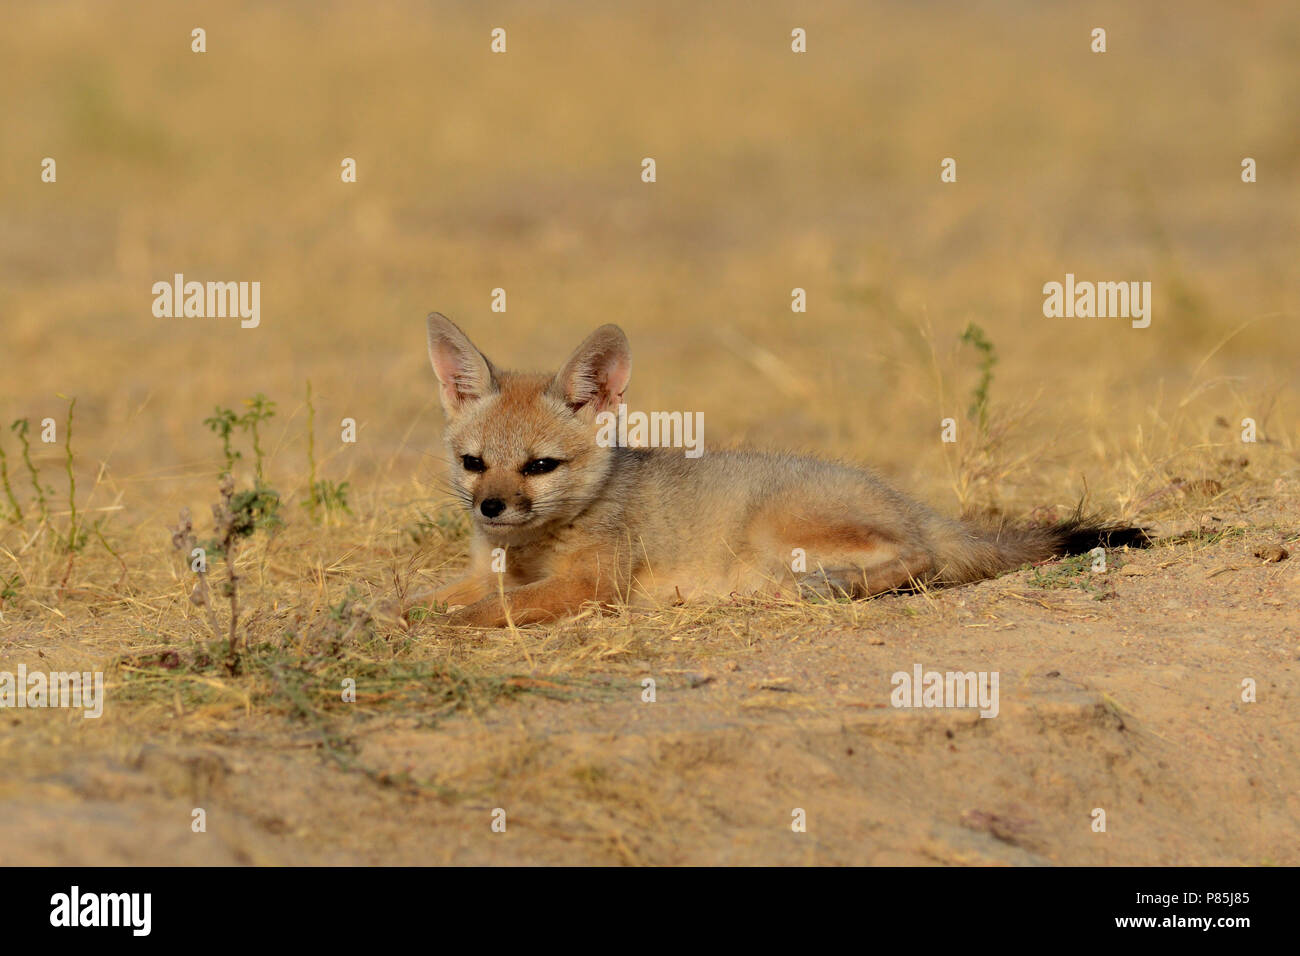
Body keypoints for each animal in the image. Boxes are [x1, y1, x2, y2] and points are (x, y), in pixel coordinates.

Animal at [408, 312, 1149, 629]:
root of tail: (916, 503)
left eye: (540, 466)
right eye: (474, 464)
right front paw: (389, 614)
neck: (529, 547)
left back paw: (819, 590)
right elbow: (431, 596)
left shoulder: (589, 586)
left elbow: (492, 609)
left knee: (919, 559)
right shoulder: (489, 570)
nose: (490, 508)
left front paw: (437, 627)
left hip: (777, 527)